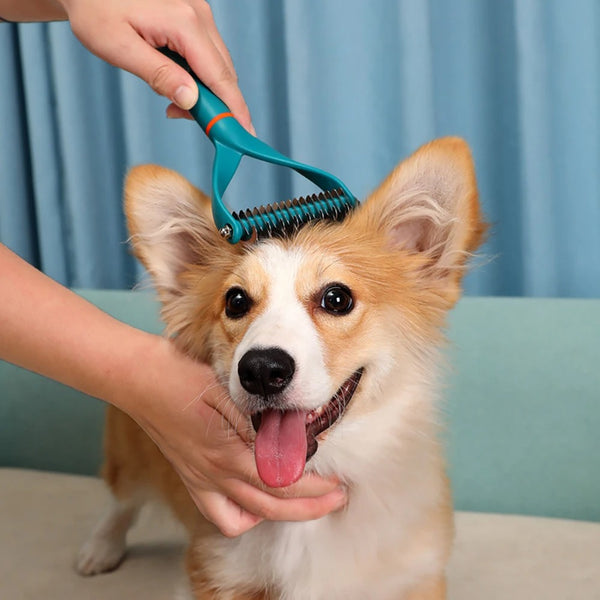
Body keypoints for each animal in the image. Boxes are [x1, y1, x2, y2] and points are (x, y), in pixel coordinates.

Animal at [77, 137, 486, 600]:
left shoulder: (416, 576)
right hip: (130, 446)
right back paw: (101, 547)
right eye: (236, 301)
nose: (261, 370)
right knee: (122, 499)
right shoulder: (216, 572)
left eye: (337, 298)